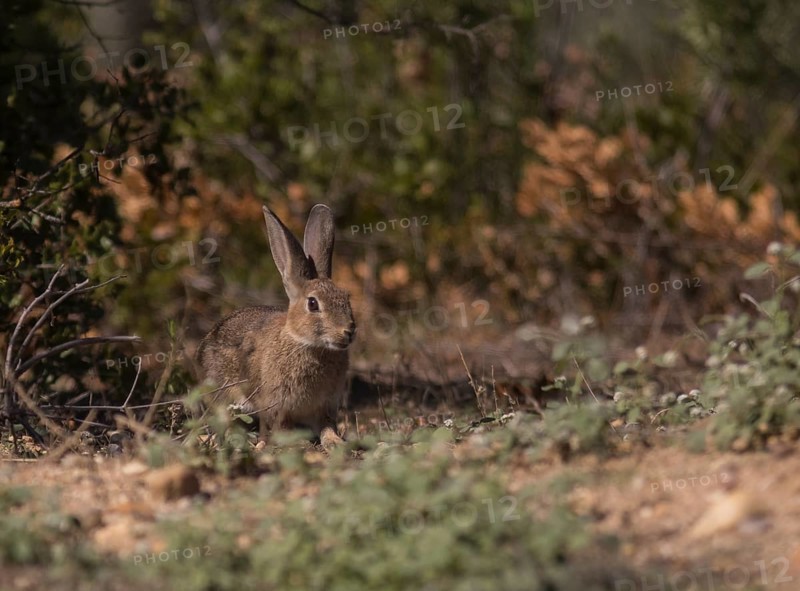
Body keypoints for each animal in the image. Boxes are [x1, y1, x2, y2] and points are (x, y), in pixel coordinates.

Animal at [197, 204, 356, 447]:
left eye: (346, 298)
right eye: (312, 303)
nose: (348, 331)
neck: (307, 343)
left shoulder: (324, 406)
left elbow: (327, 426)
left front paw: (335, 442)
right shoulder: (278, 405)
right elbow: (283, 427)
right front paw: (300, 443)